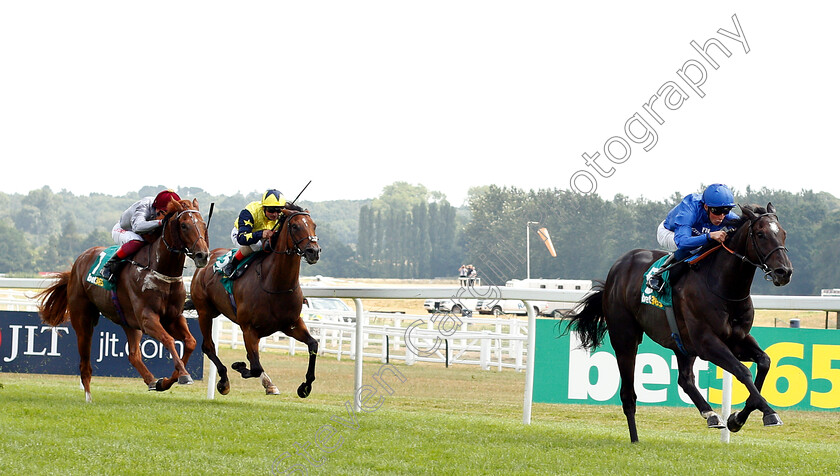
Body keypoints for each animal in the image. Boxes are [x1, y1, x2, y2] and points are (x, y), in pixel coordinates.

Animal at [38, 197, 210, 402]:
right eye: (184, 225)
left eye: (203, 224)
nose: (203, 255)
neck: (160, 270)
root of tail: (78, 262)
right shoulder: (147, 318)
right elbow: (168, 340)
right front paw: (183, 375)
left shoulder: (173, 317)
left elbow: (190, 342)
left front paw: (168, 380)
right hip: (83, 319)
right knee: (84, 362)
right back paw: (88, 397)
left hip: (128, 321)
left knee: (133, 355)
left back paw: (152, 381)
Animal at [189, 206, 320, 396]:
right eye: (295, 226)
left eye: (314, 225)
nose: (314, 251)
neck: (274, 284)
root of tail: (208, 257)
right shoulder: (249, 329)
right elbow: (255, 366)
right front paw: (239, 366)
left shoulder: (291, 324)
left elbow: (313, 344)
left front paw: (305, 386)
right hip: (205, 312)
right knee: (208, 346)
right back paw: (224, 381)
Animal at [564, 202, 796, 442]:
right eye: (760, 234)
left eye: (783, 234)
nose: (784, 272)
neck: (723, 287)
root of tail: (616, 270)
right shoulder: (707, 343)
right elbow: (742, 371)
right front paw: (768, 413)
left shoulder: (737, 339)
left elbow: (764, 362)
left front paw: (736, 418)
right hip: (625, 338)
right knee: (628, 394)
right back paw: (635, 439)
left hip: (682, 343)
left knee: (685, 379)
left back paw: (711, 414)